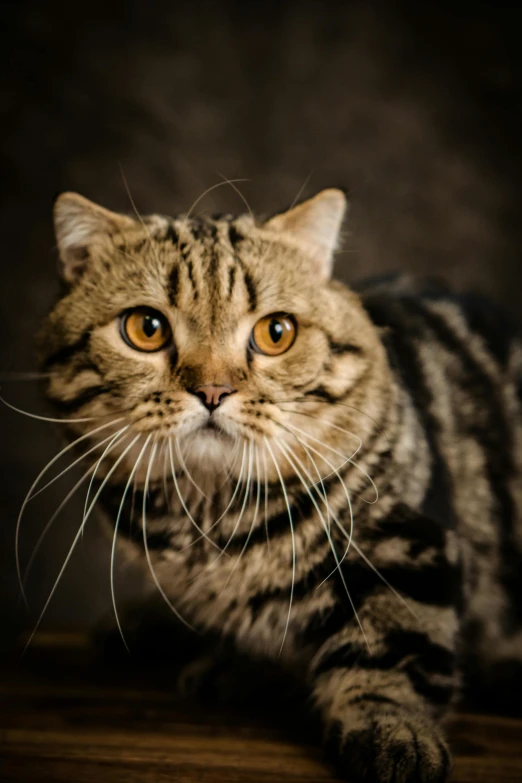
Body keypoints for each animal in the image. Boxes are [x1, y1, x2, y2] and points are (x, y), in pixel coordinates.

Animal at [33, 191, 522, 783]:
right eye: (146, 328)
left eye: (276, 333)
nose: (213, 390)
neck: (213, 517)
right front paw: (235, 664)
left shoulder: (411, 546)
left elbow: (391, 651)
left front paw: (394, 732)